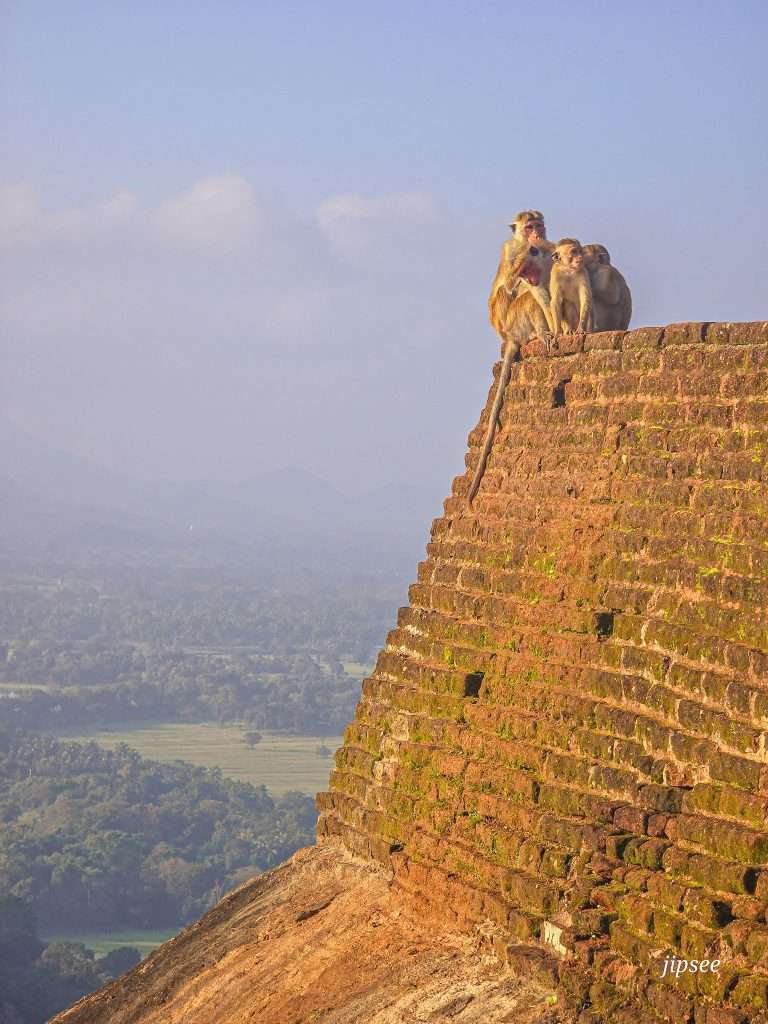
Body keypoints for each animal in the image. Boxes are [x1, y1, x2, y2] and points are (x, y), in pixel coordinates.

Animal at [468, 243, 553, 506]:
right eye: (524, 269)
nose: (527, 277)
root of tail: (512, 336)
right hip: (517, 322)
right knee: (527, 301)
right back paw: (538, 334)